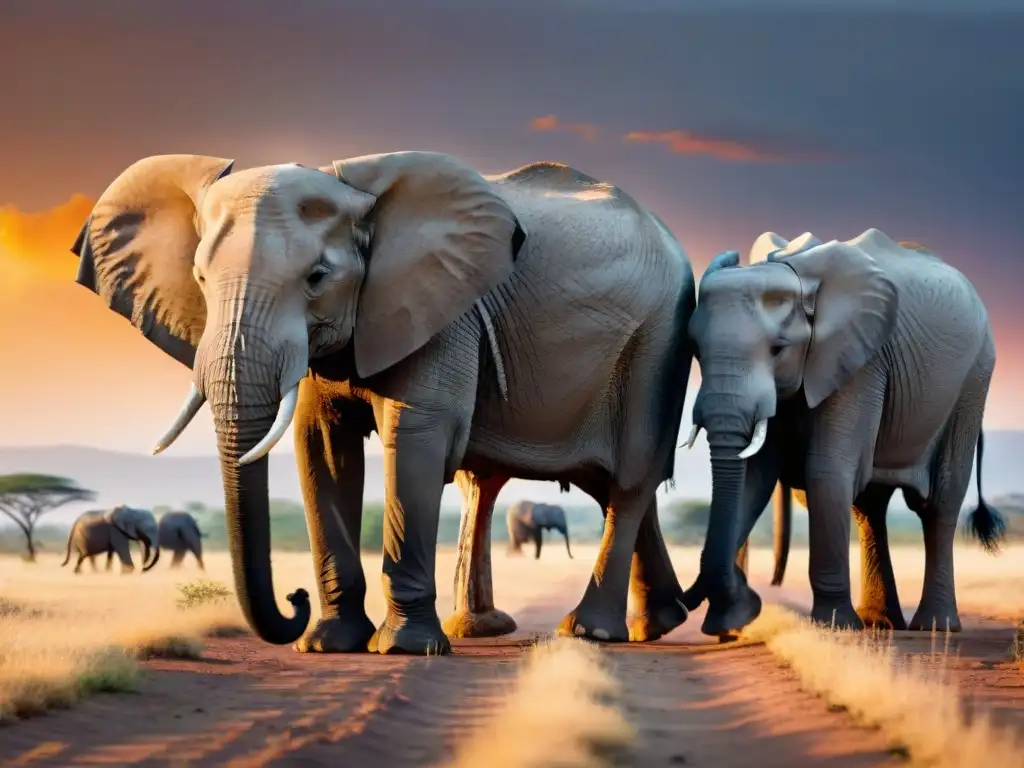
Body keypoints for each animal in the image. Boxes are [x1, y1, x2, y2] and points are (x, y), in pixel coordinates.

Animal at [70, 151, 696, 655]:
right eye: (200, 277)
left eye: (317, 277)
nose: (293, 598)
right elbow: (322, 447)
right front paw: (328, 645)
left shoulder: (442, 307)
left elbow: (415, 437)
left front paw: (404, 648)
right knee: (586, 484)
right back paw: (653, 622)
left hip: (657, 338)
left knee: (629, 479)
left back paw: (592, 633)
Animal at [675, 228, 1003, 638]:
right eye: (695, 349)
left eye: (778, 349)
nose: (678, 604)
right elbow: (755, 478)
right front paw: (731, 621)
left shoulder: (858, 362)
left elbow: (825, 472)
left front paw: (833, 627)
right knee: (869, 507)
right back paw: (880, 622)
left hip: (973, 380)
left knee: (939, 503)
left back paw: (934, 627)